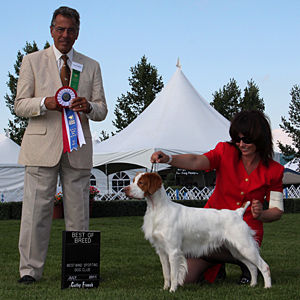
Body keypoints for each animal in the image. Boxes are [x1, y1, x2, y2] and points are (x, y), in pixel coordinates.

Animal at [124, 172, 272, 292]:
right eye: (133, 180)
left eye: (141, 182)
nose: (125, 189)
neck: (158, 210)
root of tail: (238, 213)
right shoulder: (161, 250)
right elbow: (166, 273)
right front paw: (165, 288)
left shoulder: (173, 250)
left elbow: (173, 273)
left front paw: (172, 290)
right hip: (236, 250)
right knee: (252, 267)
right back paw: (252, 284)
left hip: (246, 247)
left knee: (264, 266)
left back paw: (267, 287)